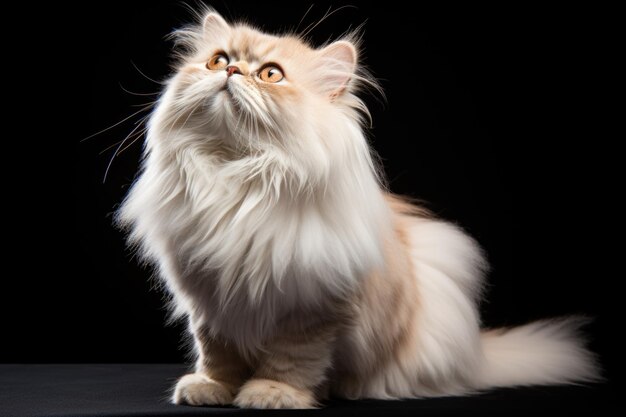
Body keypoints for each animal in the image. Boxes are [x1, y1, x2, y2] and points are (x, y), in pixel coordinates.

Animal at [116, 9, 596, 410]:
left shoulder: (311, 309)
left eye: (271, 74)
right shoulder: (210, 302)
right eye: (217, 61)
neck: (236, 175)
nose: (232, 71)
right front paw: (212, 388)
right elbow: (219, 355)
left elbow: (291, 360)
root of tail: (474, 358)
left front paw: (272, 394)